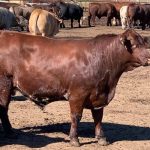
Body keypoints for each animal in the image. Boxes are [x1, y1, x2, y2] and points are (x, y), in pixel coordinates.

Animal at [0, 29, 149, 146]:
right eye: (134, 45)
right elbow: (76, 117)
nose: (148, 58)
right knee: (4, 109)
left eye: (143, 43)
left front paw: (101, 138)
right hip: (4, 85)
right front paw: (74, 139)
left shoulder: (99, 96)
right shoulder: (77, 95)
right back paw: (10, 132)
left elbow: (98, 117)